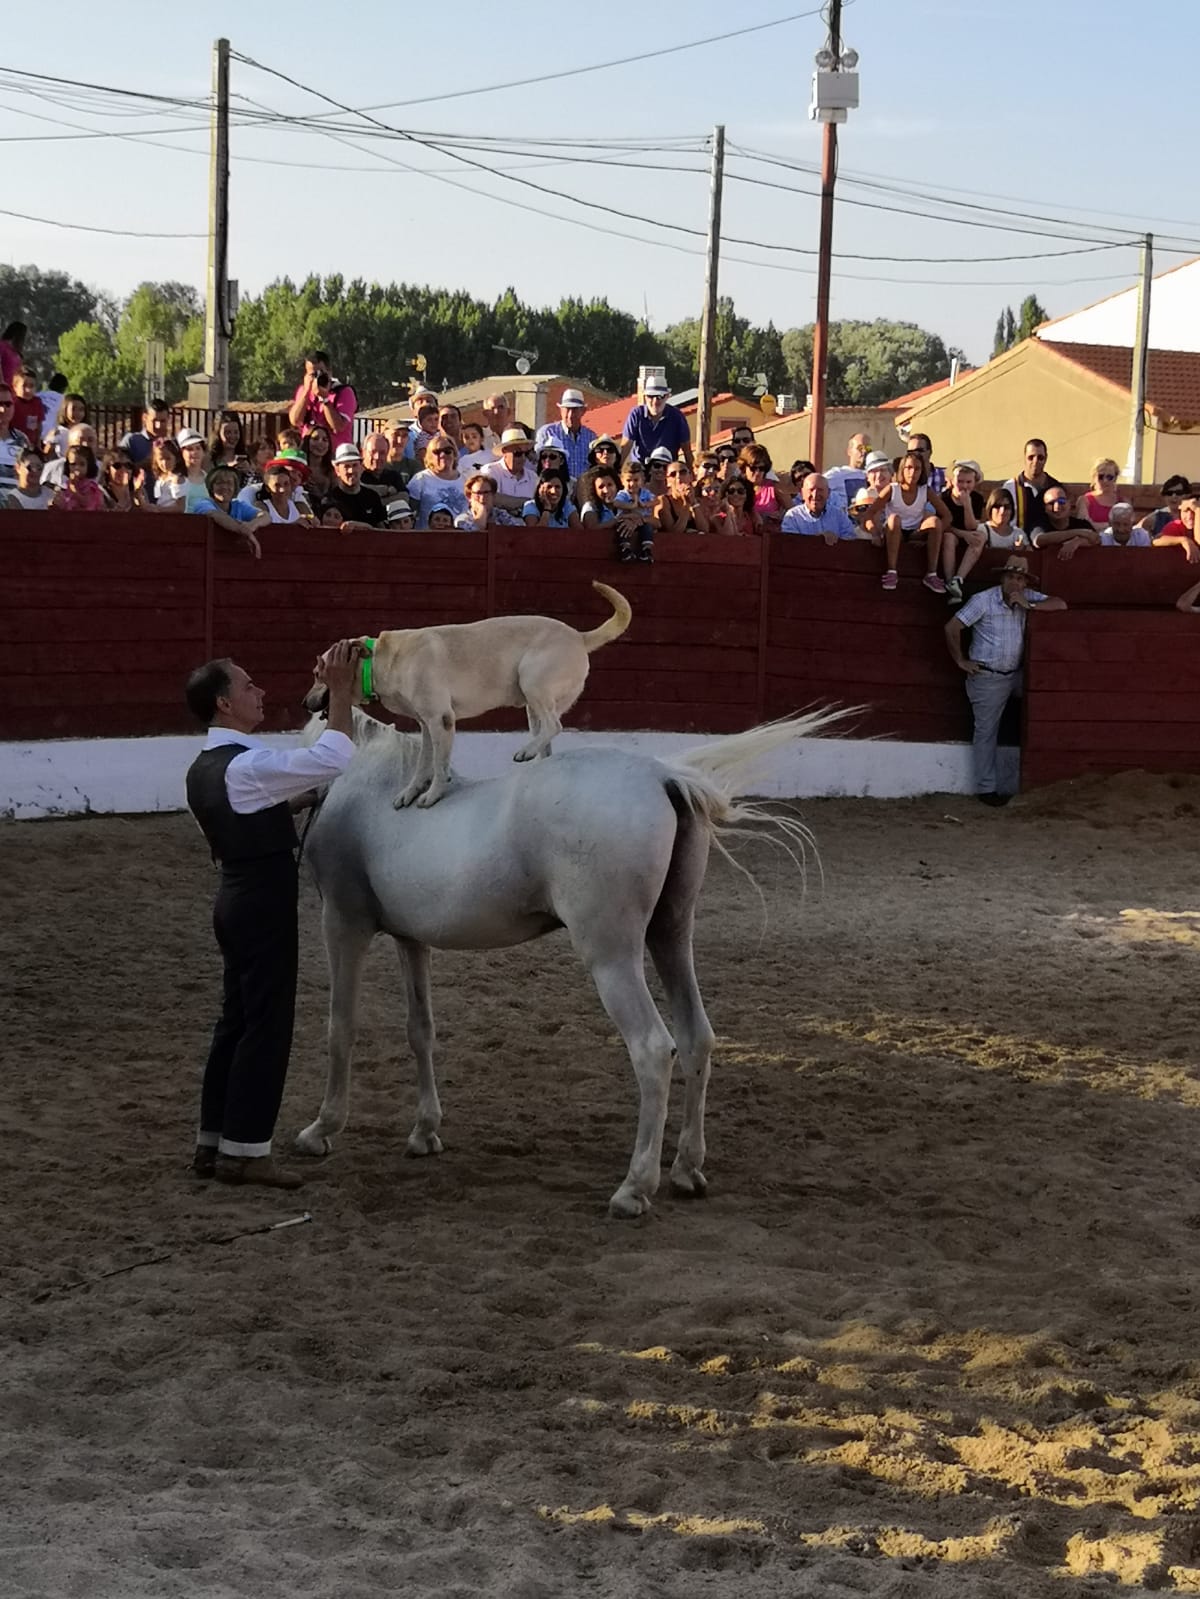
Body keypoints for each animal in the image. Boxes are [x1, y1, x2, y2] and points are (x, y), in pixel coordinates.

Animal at [294, 706, 838, 1215]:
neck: (368, 787)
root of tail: (663, 778)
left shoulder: (343, 925)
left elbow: (341, 1026)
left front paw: (322, 1128)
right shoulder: (412, 940)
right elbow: (420, 1030)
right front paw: (425, 1132)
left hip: (612, 959)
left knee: (652, 1049)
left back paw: (635, 1188)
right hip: (671, 938)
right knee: (696, 1038)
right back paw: (686, 1168)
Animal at [305, 582, 633, 805]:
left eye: (318, 674)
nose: (304, 702)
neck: (380, 661)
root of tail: (578, 636)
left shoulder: (441, 720)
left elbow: (439, 765)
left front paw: (433, 795)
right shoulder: (426, 726)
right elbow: (423, 763)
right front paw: (411, 791)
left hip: (531, 680)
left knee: (555, 725)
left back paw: (526, 751)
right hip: (532, 706)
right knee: (547, 738)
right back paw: (535, 760)